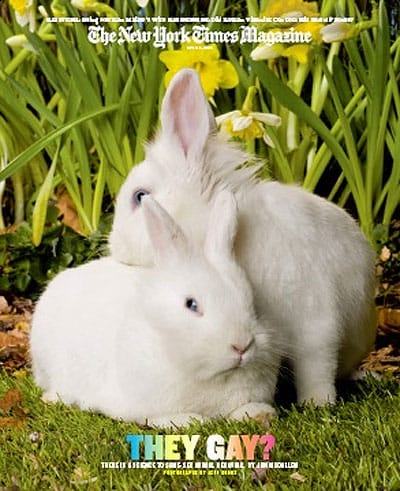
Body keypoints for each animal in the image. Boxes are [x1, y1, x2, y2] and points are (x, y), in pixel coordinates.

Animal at [30, 191, 279, 427]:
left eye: (251, 300)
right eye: (191, 304)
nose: (242, 345)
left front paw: (261, 413)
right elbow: (159, 418)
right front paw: (191, 420)